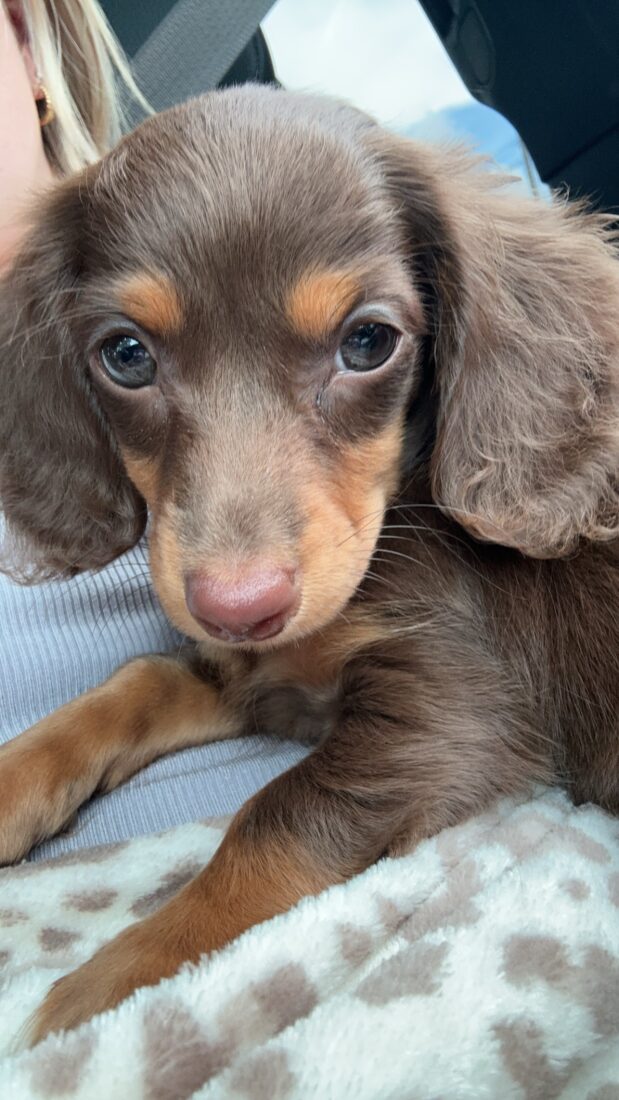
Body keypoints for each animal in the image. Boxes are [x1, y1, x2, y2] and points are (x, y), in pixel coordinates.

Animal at [0, 85, 615, 1038]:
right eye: (125, 355)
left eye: (368, 342)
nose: (238, 606)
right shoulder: (268, 674)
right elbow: (135, 684)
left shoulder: (452, 709)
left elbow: (272, 822)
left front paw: (104, 988)